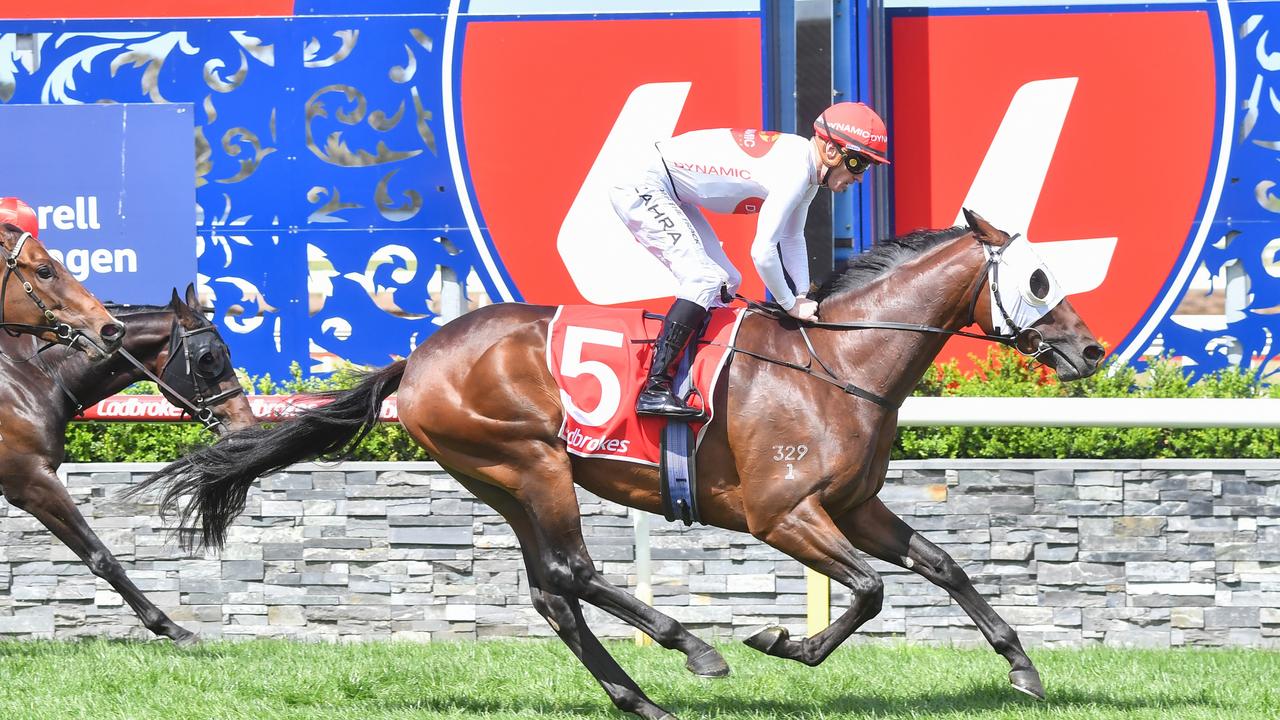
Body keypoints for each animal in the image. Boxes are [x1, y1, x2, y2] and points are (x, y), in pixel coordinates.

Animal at [137, 210, 1100, 712]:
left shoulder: (856, 506)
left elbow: (942, 566)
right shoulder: (781, 514)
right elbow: (869, 591)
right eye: (1040, 281)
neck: (837, 364)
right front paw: (783, 641)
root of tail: (417, 355)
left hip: (503, 481)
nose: (1091, 350)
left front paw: (1022, 667)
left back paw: (640, 694)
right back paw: (692, 650)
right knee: (573, 571)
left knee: (552, 593)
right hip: (528, 461)